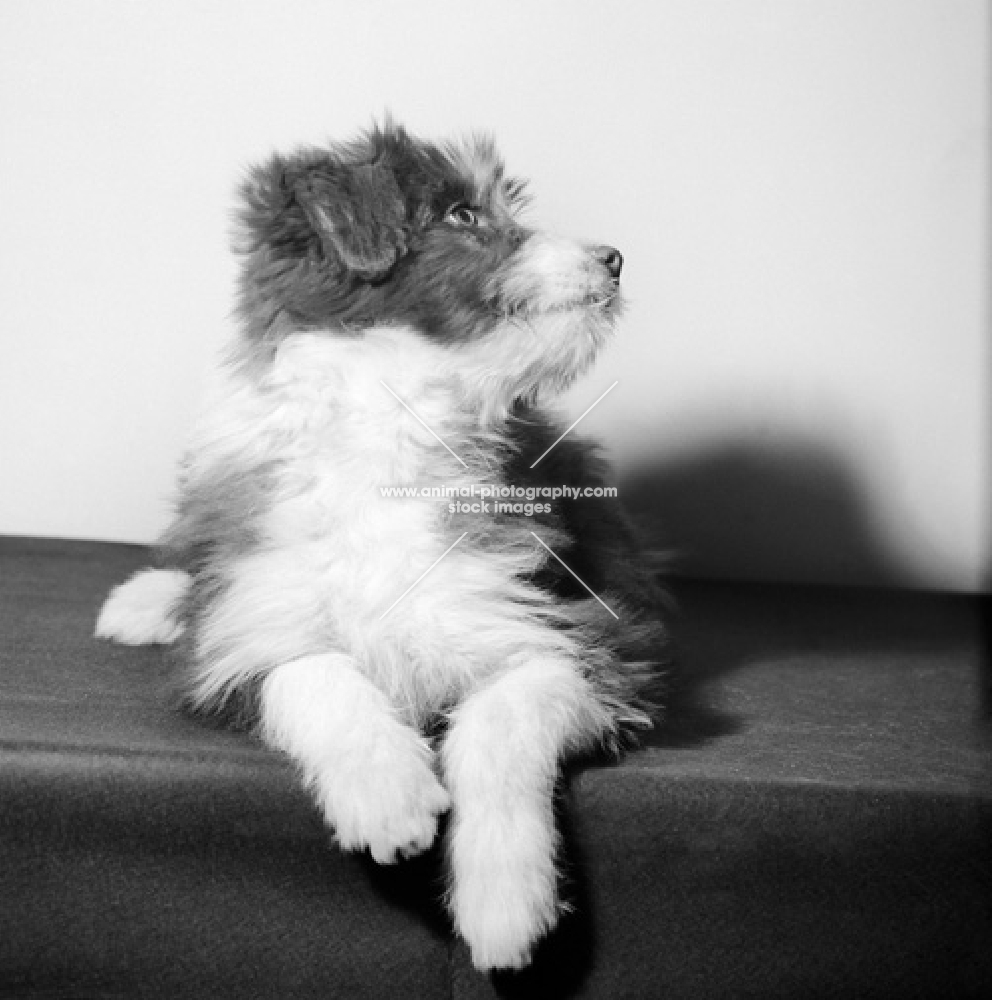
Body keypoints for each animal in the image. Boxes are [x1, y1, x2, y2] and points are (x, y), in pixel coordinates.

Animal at [97, 121, 668, 972]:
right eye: (463, 215)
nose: (615, 258)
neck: (393, 430)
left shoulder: (582, 633)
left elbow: (501, 720)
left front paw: (505, 903)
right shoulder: (253, 623)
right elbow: (312, 670)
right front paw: (387, 795)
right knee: (194, 565)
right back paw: (144, 603)